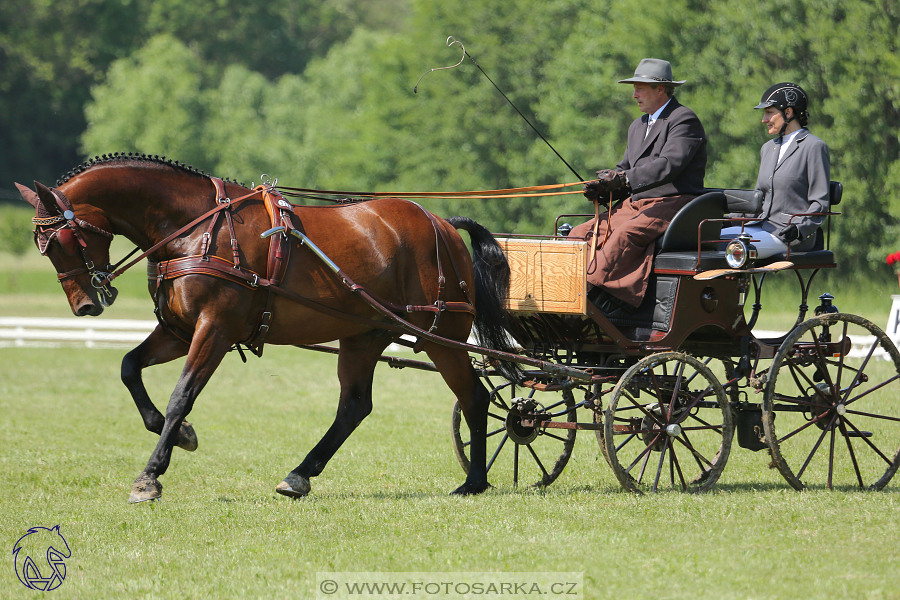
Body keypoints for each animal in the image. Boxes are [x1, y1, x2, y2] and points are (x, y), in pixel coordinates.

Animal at [17, 154, 516, 502]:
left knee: (474, 398)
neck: (192, 228)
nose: (85, 305)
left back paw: (474, 481)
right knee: (355, 406)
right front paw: (181, 434)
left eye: (64, 239)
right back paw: (300, 475)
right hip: (363, 335)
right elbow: (129, 367)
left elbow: (182, 395)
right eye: (43, 246)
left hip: (443, 337)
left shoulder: (214, 330)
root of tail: (441, 224)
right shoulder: (179, 331)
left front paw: (151, 476)